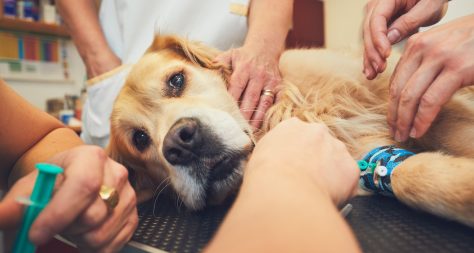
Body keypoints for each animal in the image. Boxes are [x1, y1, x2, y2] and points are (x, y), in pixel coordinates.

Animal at [108, 34, 474, 226]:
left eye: (176, 80)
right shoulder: (361, 159)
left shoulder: (408, 97)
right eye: (139, 139)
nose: (181, 143)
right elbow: (411, 176)